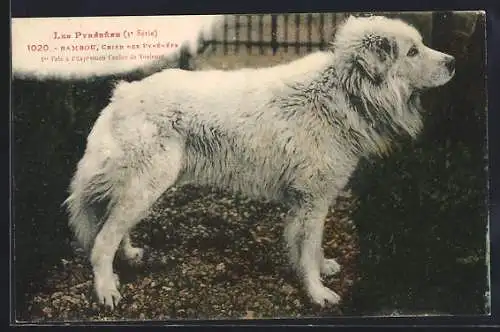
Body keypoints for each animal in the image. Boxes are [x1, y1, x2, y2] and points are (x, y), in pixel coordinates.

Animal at [64, 15, 456, 310]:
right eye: (412, 51)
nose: (452, 63)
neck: (343, 92)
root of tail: (123, 93)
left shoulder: (313, 201)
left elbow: (313, 246)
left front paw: (322, 268)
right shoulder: (311, 200)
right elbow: (307, 248)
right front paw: (317, 292)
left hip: (143, 186)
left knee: (112, 225)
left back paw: (128, 255)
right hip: (146, 184)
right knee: (102, 240)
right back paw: (106, 289)